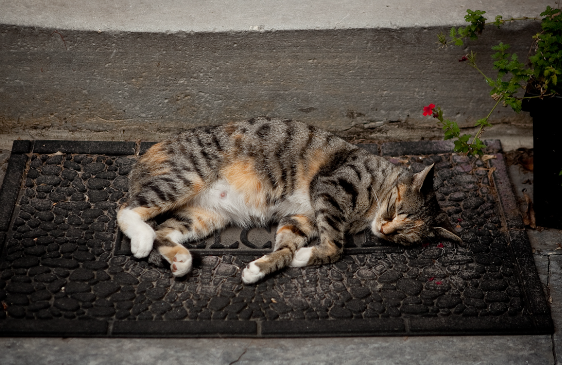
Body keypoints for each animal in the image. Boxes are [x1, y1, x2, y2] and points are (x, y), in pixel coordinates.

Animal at [115, 118, 460, 282]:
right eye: (396, 209)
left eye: (404, 235)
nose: (386, 229)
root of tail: (145, 155)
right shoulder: (331, 188)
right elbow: (336, 247)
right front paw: (309, 254)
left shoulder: (302, 220)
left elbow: (284, 249)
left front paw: (266, 266)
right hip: (186, 178)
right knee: (126, 209)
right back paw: (141, 240)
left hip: (204, 215)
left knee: (164, 231)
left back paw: (181, 260)